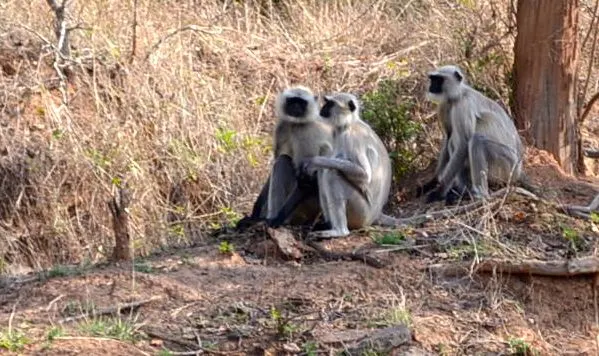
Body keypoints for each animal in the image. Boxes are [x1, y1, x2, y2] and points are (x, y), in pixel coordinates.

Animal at [237, 86, 336, 231]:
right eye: (292, 101)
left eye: (301, 103)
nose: (295, 106)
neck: (295, 124)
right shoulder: (282, 126)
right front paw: (254, 212)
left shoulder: (305, 133)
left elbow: (306, 180)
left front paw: (278, 218)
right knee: (282, 160)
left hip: (308, 207)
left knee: (283, 161)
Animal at [424, 64, 532, 203]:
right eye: (432, 79)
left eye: (439, 80)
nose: (431, 86)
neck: (456, 97)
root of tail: (519, 168)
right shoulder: (444, 105)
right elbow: (448, 136)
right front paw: (433, 181)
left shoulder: (463, 105)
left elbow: (464, 143)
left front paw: (439, 192)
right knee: (453, 142)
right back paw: (464, 191)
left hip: (508, 166)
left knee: (476, 141)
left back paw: (480, 195)